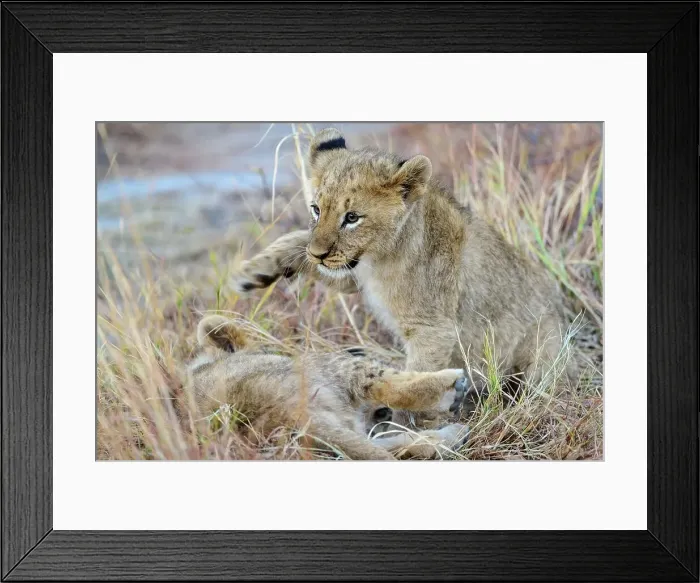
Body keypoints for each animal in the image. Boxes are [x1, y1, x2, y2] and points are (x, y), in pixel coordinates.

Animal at [188, 315, 470, 460]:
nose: (381, 413)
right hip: (331, 368)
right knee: (384, 384)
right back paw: (451, 390)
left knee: (388, 445)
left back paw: (451, 435)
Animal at [233, 128, 574, 398]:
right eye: (316, 209)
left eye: (352, 218)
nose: (318, 254)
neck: (380, 257)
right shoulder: (351, 273)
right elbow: (296, 238)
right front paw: (252, 272)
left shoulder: (432, 329)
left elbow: (420, 377)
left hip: (543, 343)